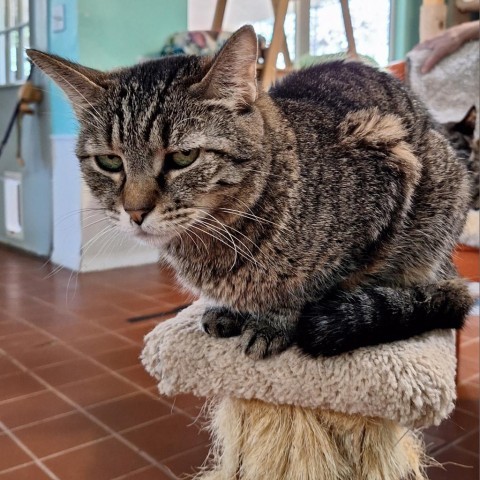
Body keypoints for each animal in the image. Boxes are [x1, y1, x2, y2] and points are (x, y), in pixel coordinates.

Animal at [29, 25, 472, 356]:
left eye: (183, 156)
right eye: (110, 162)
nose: (135, 212)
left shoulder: (387, 181)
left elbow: (319, 284)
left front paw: (274, 321)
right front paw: (231, 311)